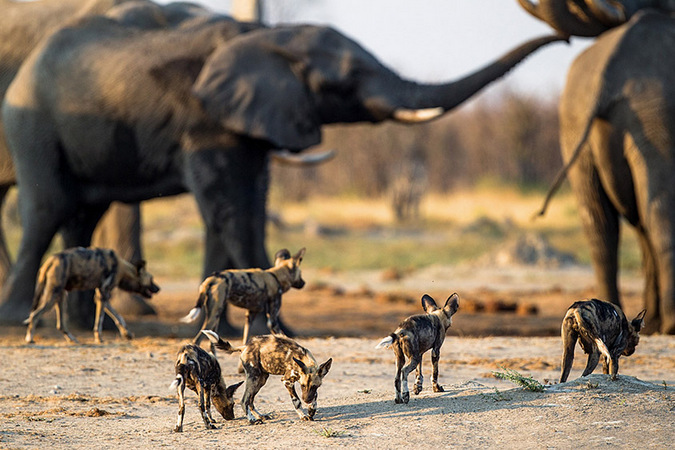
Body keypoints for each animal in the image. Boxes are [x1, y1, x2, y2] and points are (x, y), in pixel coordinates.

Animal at [22, 246, 161, 344]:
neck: (122, 268)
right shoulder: (103, 294)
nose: (158, 288)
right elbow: (99, 321)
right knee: (34, 315)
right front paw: (99, 339)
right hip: (53, 296)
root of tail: (51, 260)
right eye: (151, 279)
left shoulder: (100, 295)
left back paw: (73, 340)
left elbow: (118, 316)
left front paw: (127, 334)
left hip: (61, 296)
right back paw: (30, 339)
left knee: (60, 324)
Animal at [201, 328, 332, 424]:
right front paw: (303, 415)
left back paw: (260, 416)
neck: (303, 359)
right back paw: (252, 420)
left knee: (250, 401)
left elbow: (315, 396)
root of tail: (245, 347)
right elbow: (296, 401)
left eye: (314, 386)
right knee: (244, 400)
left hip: (261, 380)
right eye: (303, 386)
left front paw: (311, 410)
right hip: (254, 378)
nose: (306, 399)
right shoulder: (287, 381)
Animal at [528, 7, 675, 332]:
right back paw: (671, 322)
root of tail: (609, 75)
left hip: (574, 119)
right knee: (658, 212)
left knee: (598, 221)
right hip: (655, 113)